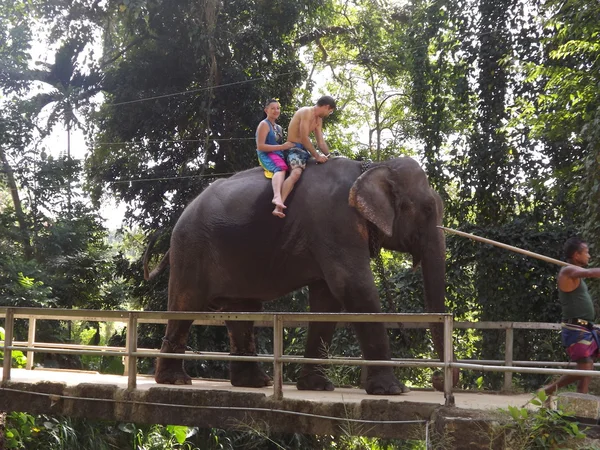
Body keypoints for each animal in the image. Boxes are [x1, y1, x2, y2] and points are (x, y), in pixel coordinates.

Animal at [142, 156, 450, 396]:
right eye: (426, 209)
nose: (438, 380)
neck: (373, 166)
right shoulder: (336, 222)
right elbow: (353, 287)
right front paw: (392, 390)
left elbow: (328, 300)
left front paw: (317, 387)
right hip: (191, 248)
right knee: (186, 304)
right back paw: (176, 381)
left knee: (243, 310)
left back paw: (255, 383)